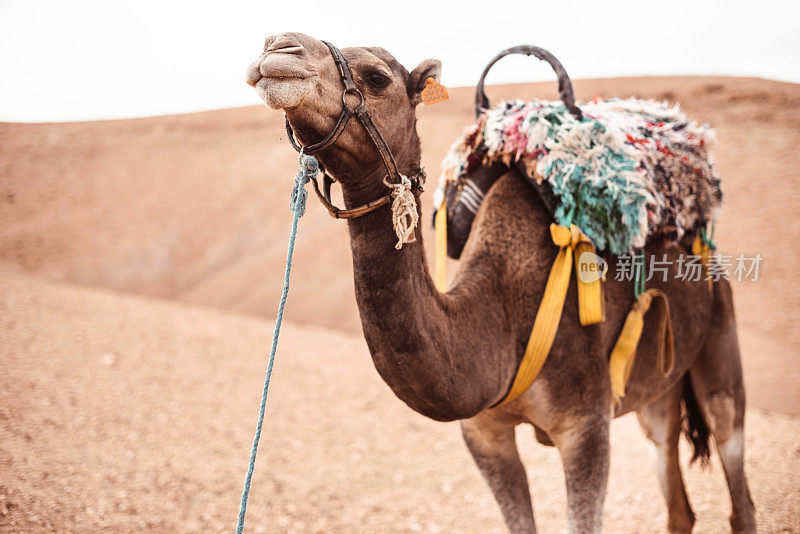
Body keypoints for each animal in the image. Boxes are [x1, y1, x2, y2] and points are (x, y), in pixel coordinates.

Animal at [247, 32, 752, 532]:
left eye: (377, 78)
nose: (278, 49)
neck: (499, 314)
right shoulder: (484, 432)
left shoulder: (586, 425)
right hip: (658, 388)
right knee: (673, 481)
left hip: (719, 334)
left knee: (733, 465)